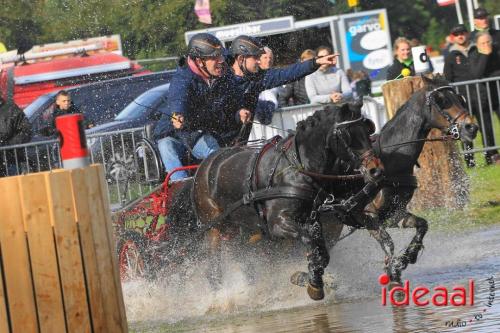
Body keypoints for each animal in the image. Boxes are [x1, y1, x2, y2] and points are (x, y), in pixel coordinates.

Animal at [191, 102, 382, 300]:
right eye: (347, 135)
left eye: (367, 129)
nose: (376, 170)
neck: (298, 168)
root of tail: (204, 165)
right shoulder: (278, 223)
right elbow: (311, 244)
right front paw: (312, 284)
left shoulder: (313, 220)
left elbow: (321, 252)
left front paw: (308, 278)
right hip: (213, 227)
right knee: (213, 270)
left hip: (242, 230)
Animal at [324, 74, 480, 286]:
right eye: (441, 101)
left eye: (460, 98)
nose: (471, 127)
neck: (390, 160)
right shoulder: (365, 215)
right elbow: (388, 242)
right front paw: (393, 271)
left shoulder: (393, 213)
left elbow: (422, 225)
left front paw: (406, 259)